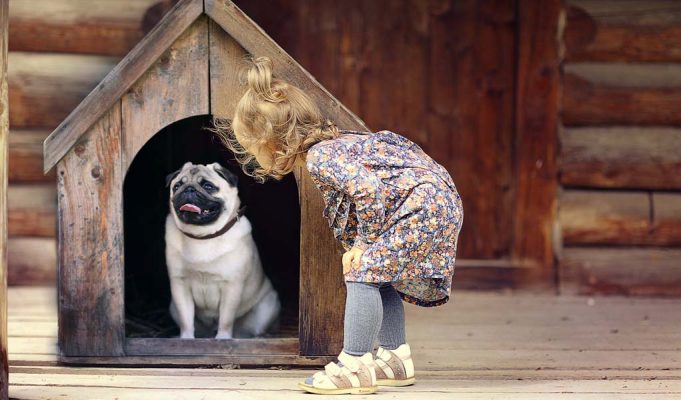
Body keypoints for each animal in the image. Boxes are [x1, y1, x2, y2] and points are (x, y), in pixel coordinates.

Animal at [165, 161, 278, 340]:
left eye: (208, 186)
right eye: (177, 187)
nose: (188, 189)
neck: (203, 236)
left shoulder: (231, 286)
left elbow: (226, 318)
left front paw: (223, 338)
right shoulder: (180, 284)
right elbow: (186, 319)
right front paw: (186, 339)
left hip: (268, 307)